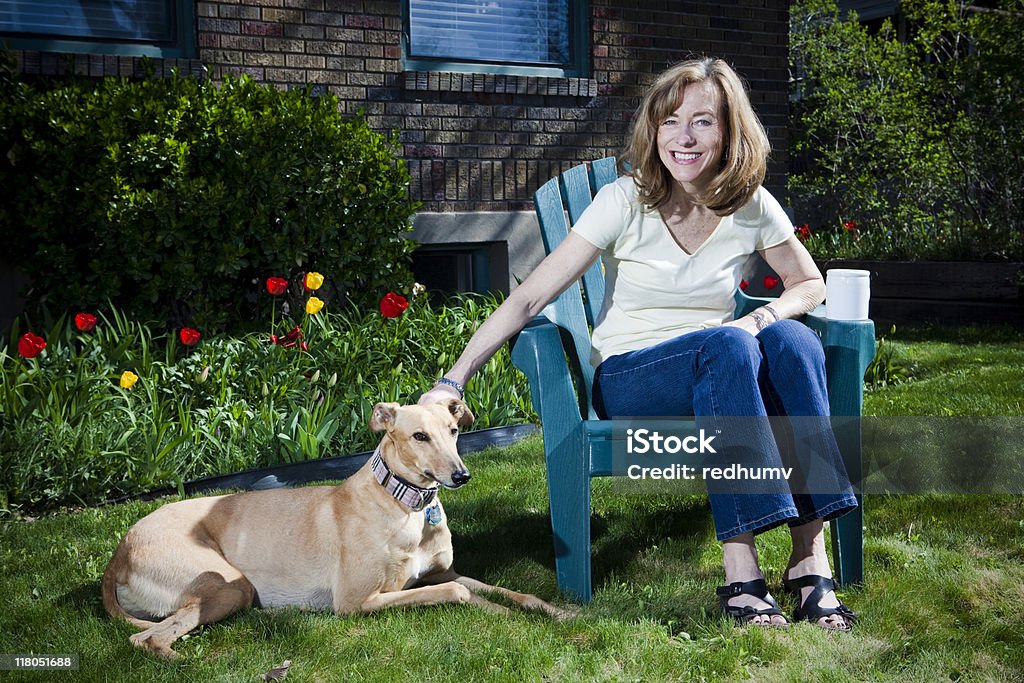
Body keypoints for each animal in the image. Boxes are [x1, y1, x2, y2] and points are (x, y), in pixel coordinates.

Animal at [101, 397, 569, 659]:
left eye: (454, 430)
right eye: (419, 436)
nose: (461, 476)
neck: (403, 505)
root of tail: (119, 551)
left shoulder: (440, 572)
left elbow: (509, 591)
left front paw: (558, 611)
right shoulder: (358, 601)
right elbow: (461, 593)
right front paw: (507, 615)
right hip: (228, 585)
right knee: (146, 639)